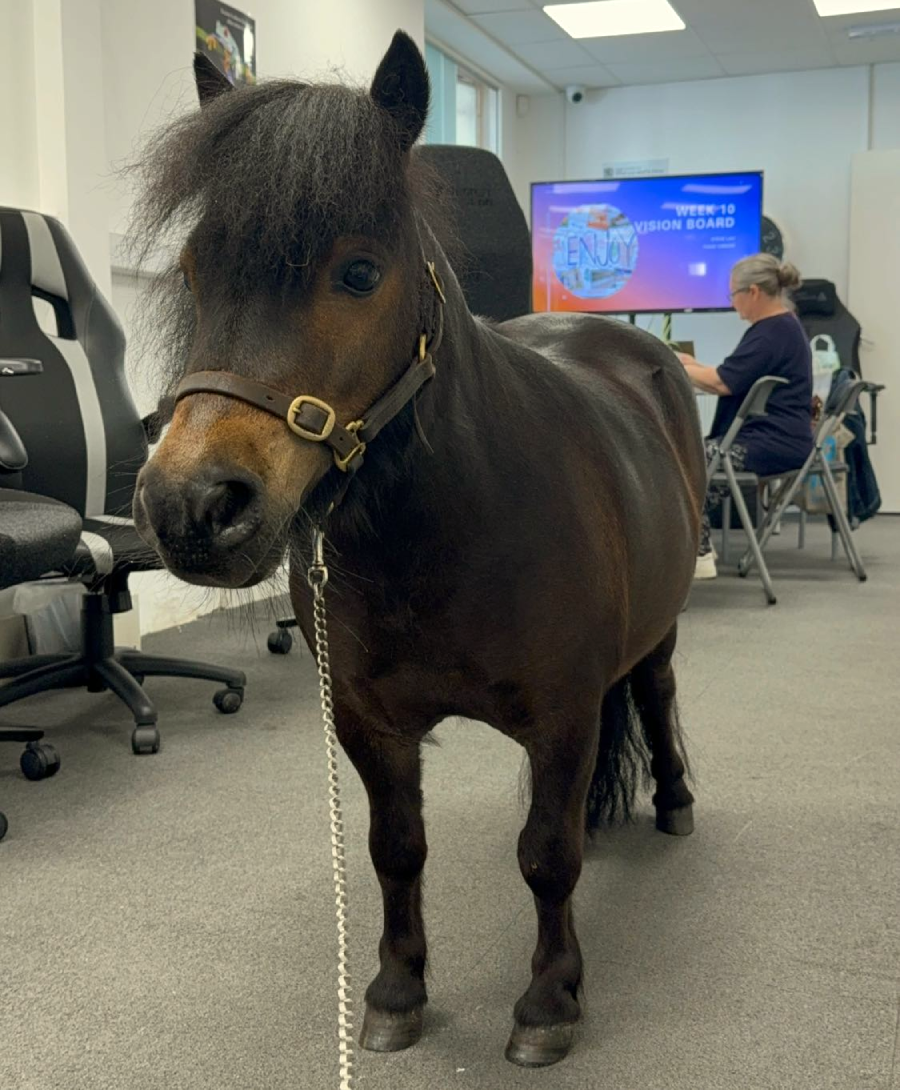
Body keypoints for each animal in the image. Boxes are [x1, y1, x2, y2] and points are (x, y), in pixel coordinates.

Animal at [132, 31, 706, 1068]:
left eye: (360, 272)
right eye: (195, 269)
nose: (192, 506)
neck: (444, 536)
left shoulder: (563, 717)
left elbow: (546, 856)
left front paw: (549, 1001)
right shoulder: (367, 724)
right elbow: (396, 850)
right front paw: (397, 991)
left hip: (662, 627)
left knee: (657, 692)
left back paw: (676, 804)